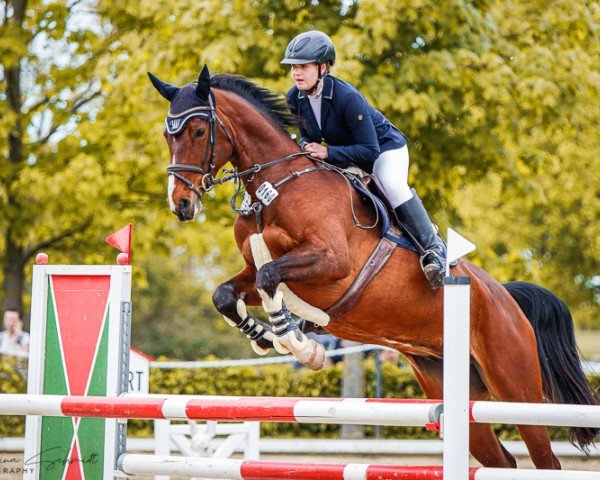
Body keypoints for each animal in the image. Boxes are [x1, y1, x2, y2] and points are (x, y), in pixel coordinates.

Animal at [149, 65, 596, 470]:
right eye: (168, 135)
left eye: (198, 132)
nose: (181, 205)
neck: (276, 185)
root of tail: (505, 297)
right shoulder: (253, 271)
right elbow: (227, 293)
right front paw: (265, 336)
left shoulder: (330, 262)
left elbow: (269, 276)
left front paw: (300, 342)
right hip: (453, 387)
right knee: (500, 460)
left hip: (514, 383)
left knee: (546, 459)